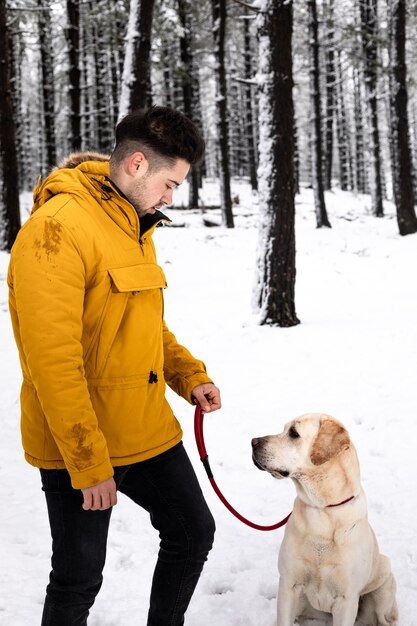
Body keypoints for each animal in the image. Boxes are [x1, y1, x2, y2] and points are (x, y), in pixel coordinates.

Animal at [250, 412, 396, 620]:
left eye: (293, 433)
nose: (253, 441)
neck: (322, 509)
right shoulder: (288, 586)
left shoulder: (346, 599)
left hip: (385, 582)